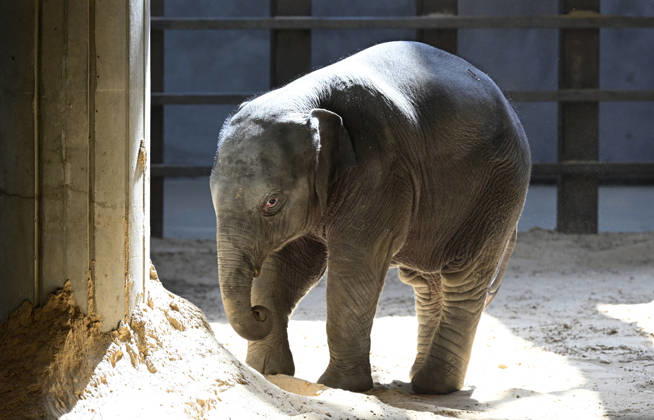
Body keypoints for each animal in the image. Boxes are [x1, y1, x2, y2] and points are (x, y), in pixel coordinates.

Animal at [210, 41, 530, 394]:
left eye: (271, 202)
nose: (258, 313)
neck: (304, 100)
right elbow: (285, 267)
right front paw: (268, 372)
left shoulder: (380, 173)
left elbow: (354, 265)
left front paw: (341, 387)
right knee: (426, 281)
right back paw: (419, 376)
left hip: (498, 191)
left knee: (464, 279)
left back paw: (434, 386)